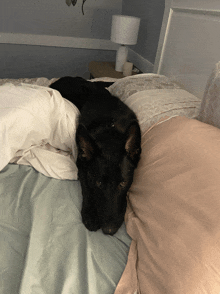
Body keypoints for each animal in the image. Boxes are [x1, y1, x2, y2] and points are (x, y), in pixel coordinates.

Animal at [49, 77, 141, 235]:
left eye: (123, 183)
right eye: (98, 183)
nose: (109, 230)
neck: (109, 129)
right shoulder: (82, 166)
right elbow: (87, 189)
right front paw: (90, 215)